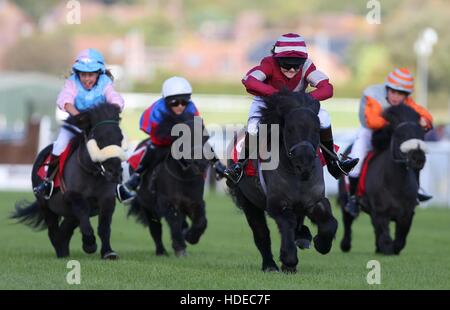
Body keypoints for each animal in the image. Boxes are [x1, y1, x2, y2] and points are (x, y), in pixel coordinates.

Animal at [11, 104, 126, 260]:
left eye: (120, 137)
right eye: (97, 138)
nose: (114, 172)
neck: (91, 173)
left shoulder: (107, 199)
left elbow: (104, 226)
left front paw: (108, 252)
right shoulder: (74, 196)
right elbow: (83, 214)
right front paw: (89, 244)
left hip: (68, 213)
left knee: (66, 229)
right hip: (46, 207)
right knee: (53, 231)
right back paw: (62, 252)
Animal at [126, 113, 211, 256]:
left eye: (206, 137)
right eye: (184, 137)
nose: (201, 163)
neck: (183, 177)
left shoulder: (195, 202)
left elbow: (201, 221)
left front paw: (191, 236)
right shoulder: (167, 202)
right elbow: (174, 222)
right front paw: (180, 247)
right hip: (147, 207)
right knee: (155, 228)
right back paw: (161, 251)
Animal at [229, 91, 338, 272]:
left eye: (317, 129)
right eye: (290, 129)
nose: (304, 163)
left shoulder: (314, 201)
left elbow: (329, 224)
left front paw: (321, 243)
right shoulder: (277, 204)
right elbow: (286, 224)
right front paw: (289, 260)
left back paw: (303, 236)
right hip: (248, 202)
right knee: (261, 233)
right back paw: (270, 265)